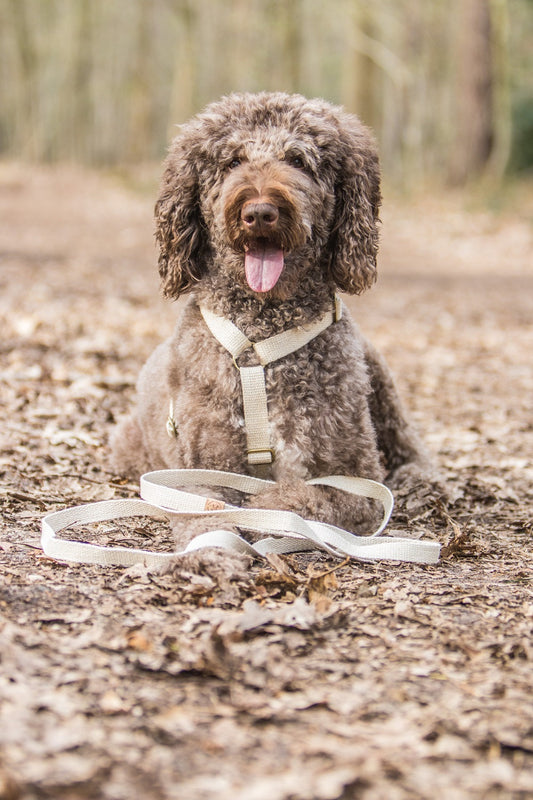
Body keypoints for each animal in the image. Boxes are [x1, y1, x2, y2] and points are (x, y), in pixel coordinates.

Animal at [111, 90, 432, 548]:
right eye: (232, 161)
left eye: (298, 160)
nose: (260, 211)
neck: (262, 337)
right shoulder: (199, 472)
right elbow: (206, 514)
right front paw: (213, 551)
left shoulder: (358, 480)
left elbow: (299, 499)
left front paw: (265, 509)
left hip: (378, 374)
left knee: (409, 443)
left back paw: (425, 483)